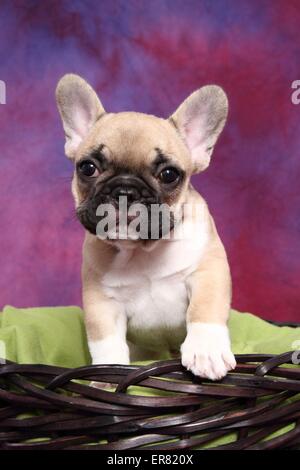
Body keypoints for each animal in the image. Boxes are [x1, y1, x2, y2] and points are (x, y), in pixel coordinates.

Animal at [55, 74, 236, 382]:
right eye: (87, 168)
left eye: (169, 174)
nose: (125, 190)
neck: (142, 251)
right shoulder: (101, 300)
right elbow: (105, 341)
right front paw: (106, 374)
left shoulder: (207, 271)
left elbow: (205, 310)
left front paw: (206, 351)